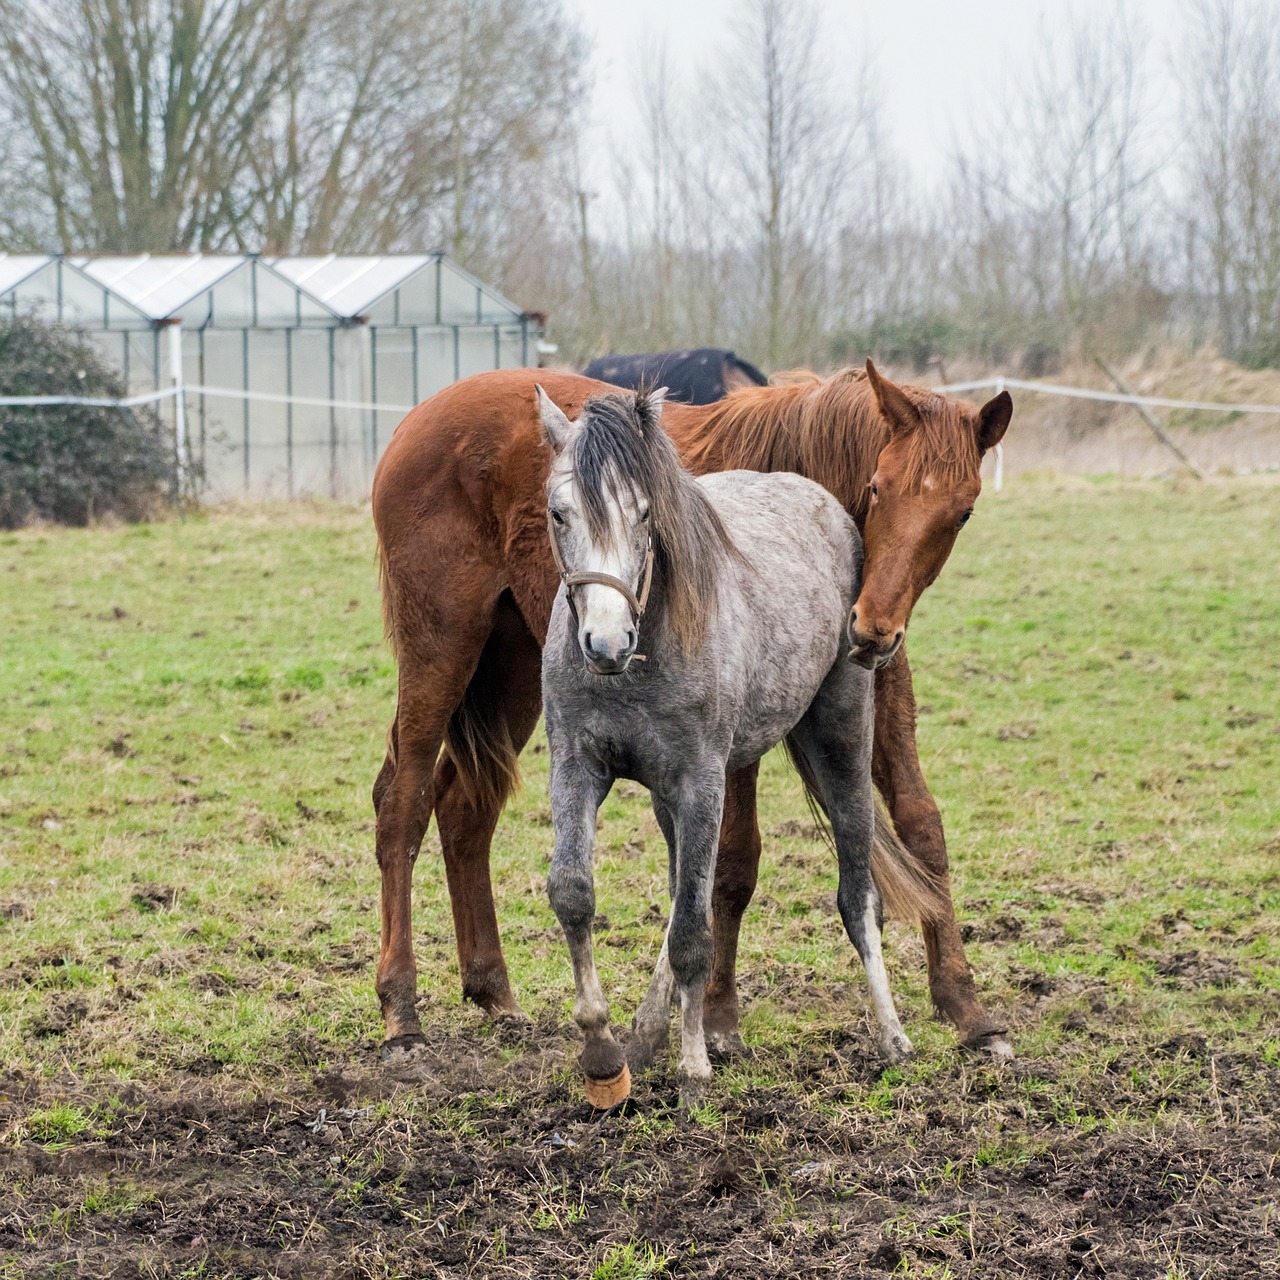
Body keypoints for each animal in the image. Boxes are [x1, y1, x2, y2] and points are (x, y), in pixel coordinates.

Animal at [535, 384, 947, 1105]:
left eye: (645, 512)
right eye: (560, 513)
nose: (606, 645)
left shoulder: (702, 783)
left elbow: (693, 934)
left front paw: (694, 1071)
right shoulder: (577, 768)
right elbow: (576, 893)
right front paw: (604, 1058)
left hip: (842, 742)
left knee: (857, 893)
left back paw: (892, 1036)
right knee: (681, 895)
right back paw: (645, 1035)